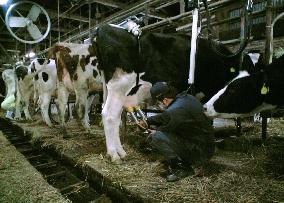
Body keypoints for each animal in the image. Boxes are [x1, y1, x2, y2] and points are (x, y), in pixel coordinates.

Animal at [93, 23, 255, 162]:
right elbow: (208, 118)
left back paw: (121, 151)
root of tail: (102, 28)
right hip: (119, 87)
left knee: (114, 117)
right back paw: (115, 154)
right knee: (109, 116)